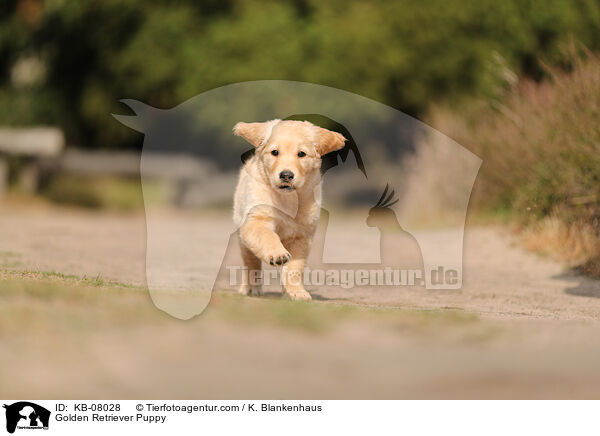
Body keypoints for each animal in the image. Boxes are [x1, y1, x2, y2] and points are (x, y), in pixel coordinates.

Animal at [234, 121, 346, 302]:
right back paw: (251, 288)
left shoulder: (301, 236)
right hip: (241, 232)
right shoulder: (256, 219)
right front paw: (277, 254)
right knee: (251, 262)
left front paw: (296, 292)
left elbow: (294, 268)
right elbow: (267, 236)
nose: (286, 175)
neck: (287, 199)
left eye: (301, 154)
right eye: (275, 152)